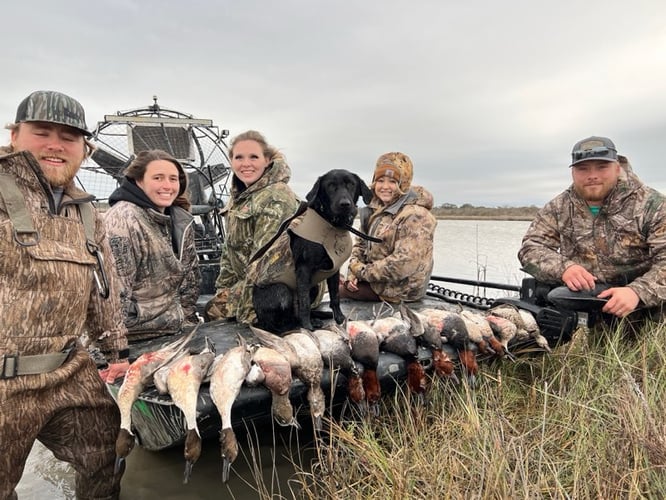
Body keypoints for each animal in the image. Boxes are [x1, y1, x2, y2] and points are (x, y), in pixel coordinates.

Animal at [252, 170, 370, 334]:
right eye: (330, 186)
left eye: (351, 184)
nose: (345, 204)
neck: (330, 223)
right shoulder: (303, 269)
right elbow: (305, 302)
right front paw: (307, 326)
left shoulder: (334, 269)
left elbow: (335, 296)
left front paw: (339, 318)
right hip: (282, 290)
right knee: (279, 324)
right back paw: (300, 323)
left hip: (313, 286)